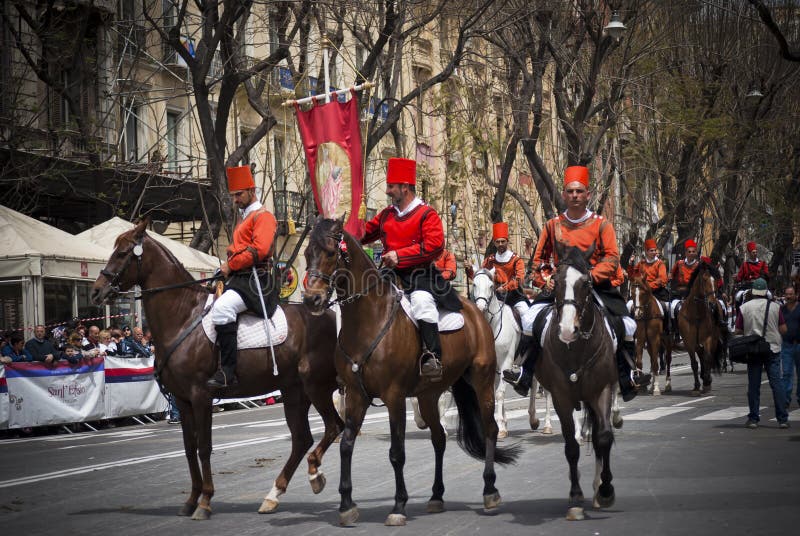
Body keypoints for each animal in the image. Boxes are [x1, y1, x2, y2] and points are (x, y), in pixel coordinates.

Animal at [89, 218, 342, 520]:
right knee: (302, 439)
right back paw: (274, 495)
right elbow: (189, 448)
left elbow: (204, 447)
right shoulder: (182, 400)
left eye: (123, 252)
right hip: (294, 392)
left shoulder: (201, 396)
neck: (183, 316)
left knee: (333, 427)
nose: (96, 291)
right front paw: (191, 500)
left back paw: (314, 477)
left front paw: (205, 501)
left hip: (317, 388)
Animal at [302, 217, 520, 528]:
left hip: (482, 380)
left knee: (489, 428)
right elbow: (346, 445)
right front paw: (346, 505)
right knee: (439, 438)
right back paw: (436, 496)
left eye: (331, 253)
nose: (312, 300)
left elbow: (396, 453)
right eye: (308, 254)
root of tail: (475, 311)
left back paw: (490, 489)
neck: (367, 320)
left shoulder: (393, 397)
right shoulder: (356, 394)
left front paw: (398, 505)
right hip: (429, 394)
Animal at [472, 268, 552, 436]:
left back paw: (547, 424)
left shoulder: (505, 363)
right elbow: (495, 393)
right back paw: (533, 419)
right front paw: (502, 423)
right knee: (533, 383)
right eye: (474, 284)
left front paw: (500, 428)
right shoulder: (493, 367)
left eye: (491, 286)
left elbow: (499, 393)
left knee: (547, 389)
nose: (480, 308)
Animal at [536, 245, 620, 520]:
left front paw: (606, 490)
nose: (566, 330)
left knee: (599, 437)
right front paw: (575, 496)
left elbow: (603, 437)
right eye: (556, 280)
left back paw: (598, 489)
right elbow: (571, 446)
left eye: (586, 283)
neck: (577, 349)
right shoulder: (561, 397)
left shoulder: (602, 390)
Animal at [676, 260, 724, 394]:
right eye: (704, 279)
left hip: (713, 340)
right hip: (697, 344)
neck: (696, 314)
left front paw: (707, 381)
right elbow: (694, 363)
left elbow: (708, 358)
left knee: (709, 357)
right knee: (701, 357)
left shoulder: (708, 339)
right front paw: (697, 385)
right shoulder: (689, 342)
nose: (712, 303)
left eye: (716, 280)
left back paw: (707, 379)